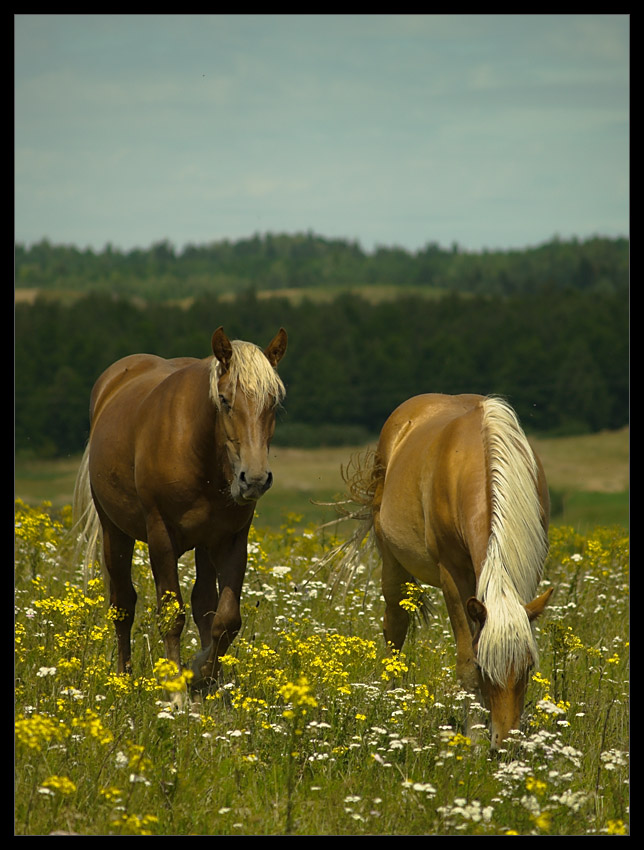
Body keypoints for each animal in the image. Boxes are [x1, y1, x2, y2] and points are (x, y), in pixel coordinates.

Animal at [71, 324, 288, 688]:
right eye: (225, 400)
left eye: (273, 402)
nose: (254, 479)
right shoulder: (161, 537)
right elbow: (172, 615)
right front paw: (176, 688)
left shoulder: (231, 539)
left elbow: (225, 619)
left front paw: (203, 675)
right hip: (115, 532)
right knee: (123, 604)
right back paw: (124, 679)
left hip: (203, 543)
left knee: (204, 604)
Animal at [330, 394, 552, 744]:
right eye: (484, 669)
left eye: (528, 667)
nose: (504, 744)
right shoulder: (453, 576)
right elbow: (464, 662)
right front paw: (474, 739)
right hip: (391, 562)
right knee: (395, 625)